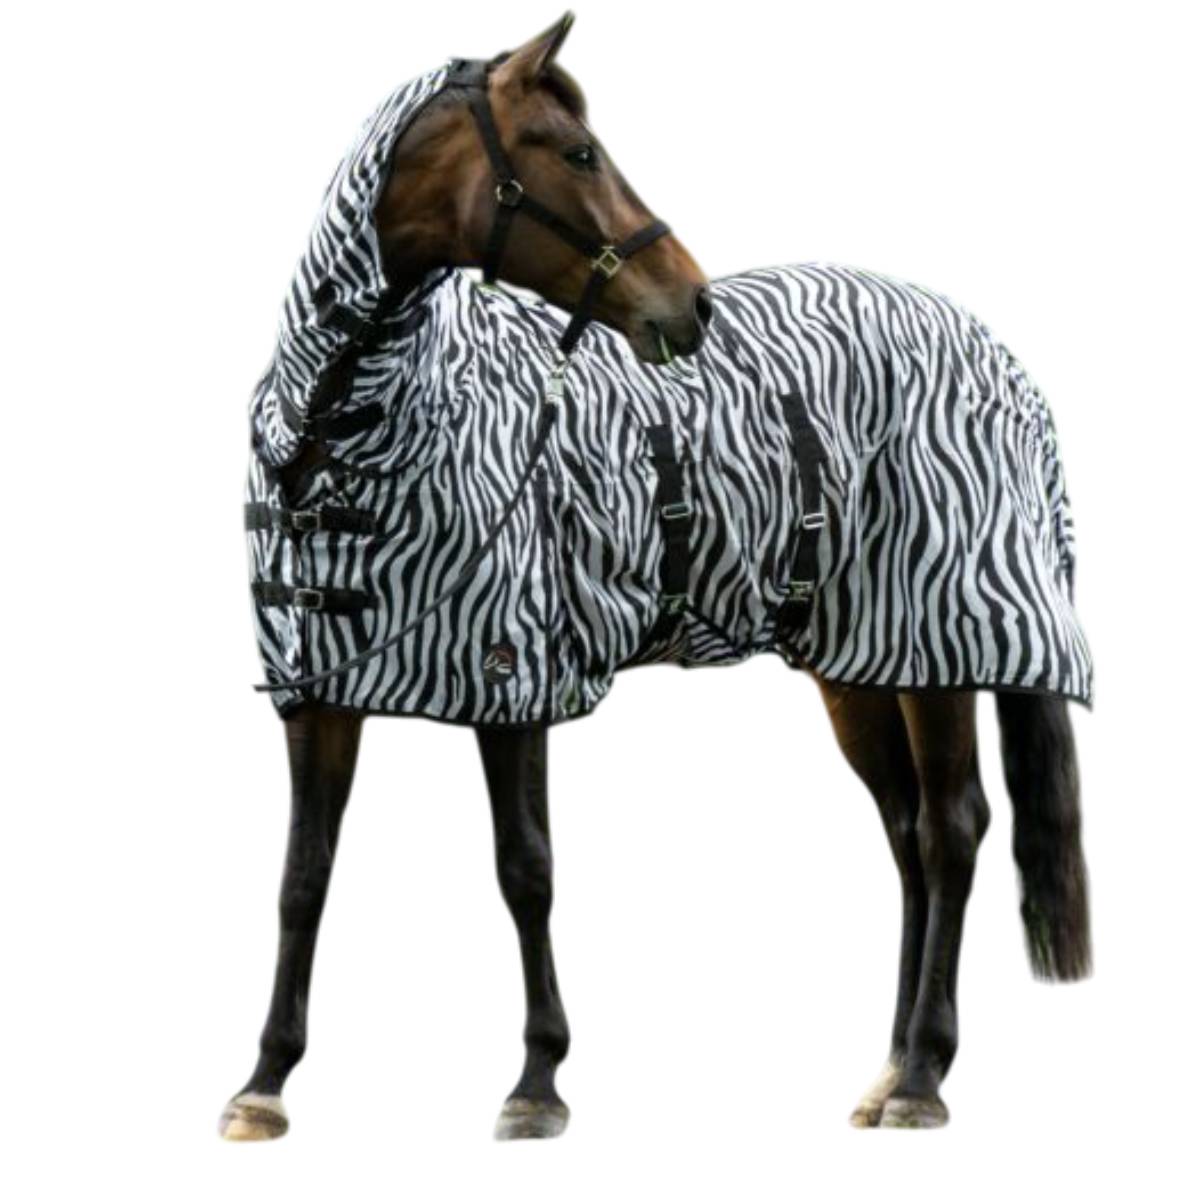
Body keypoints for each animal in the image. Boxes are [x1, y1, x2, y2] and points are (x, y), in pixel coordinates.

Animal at [222, 13, 1092, 1141]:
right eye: (578, 151)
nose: (693, 304)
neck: (338, 443)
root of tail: (998, 358)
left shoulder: (512, 677)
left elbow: (526, 871)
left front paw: (537, 1083)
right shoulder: (317, 691)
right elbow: (304, 878)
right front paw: (264, 1083)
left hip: (936, 645)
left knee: (952, 831)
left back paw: (924, 1080)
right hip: (856, 664)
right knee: (906, 835)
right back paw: (889, 1069)